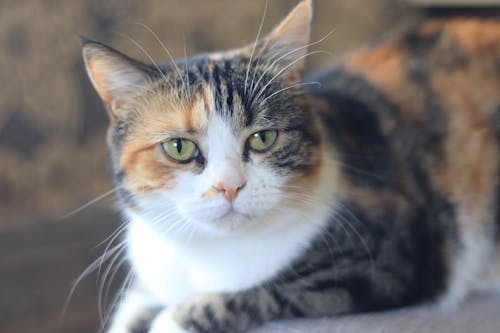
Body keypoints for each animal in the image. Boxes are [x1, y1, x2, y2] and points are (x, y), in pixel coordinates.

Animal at [81, 0, 500, 332]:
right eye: (179, 147)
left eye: (263, 138)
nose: (229, 186)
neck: (207, 256)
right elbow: (131, 309)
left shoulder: (385, 257)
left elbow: (264, 291)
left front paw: (172, 320)